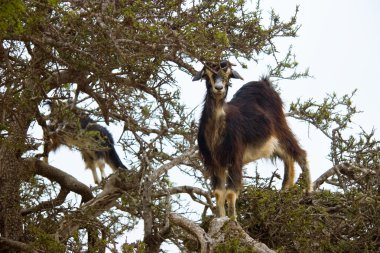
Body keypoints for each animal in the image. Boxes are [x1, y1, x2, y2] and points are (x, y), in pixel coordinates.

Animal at [193, 60, 312, 219]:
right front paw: (222, 218)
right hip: (272, 144)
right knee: (288, 158)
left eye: (228, 74)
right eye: (207, 74)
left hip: (281, 128)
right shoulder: (215, 163)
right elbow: (219, 194)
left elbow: (230, 193)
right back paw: (285, 191)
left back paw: (309, 192)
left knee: (300, 154)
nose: (219, 88)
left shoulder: (235, 159)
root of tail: (264, 83)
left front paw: (233, 221)